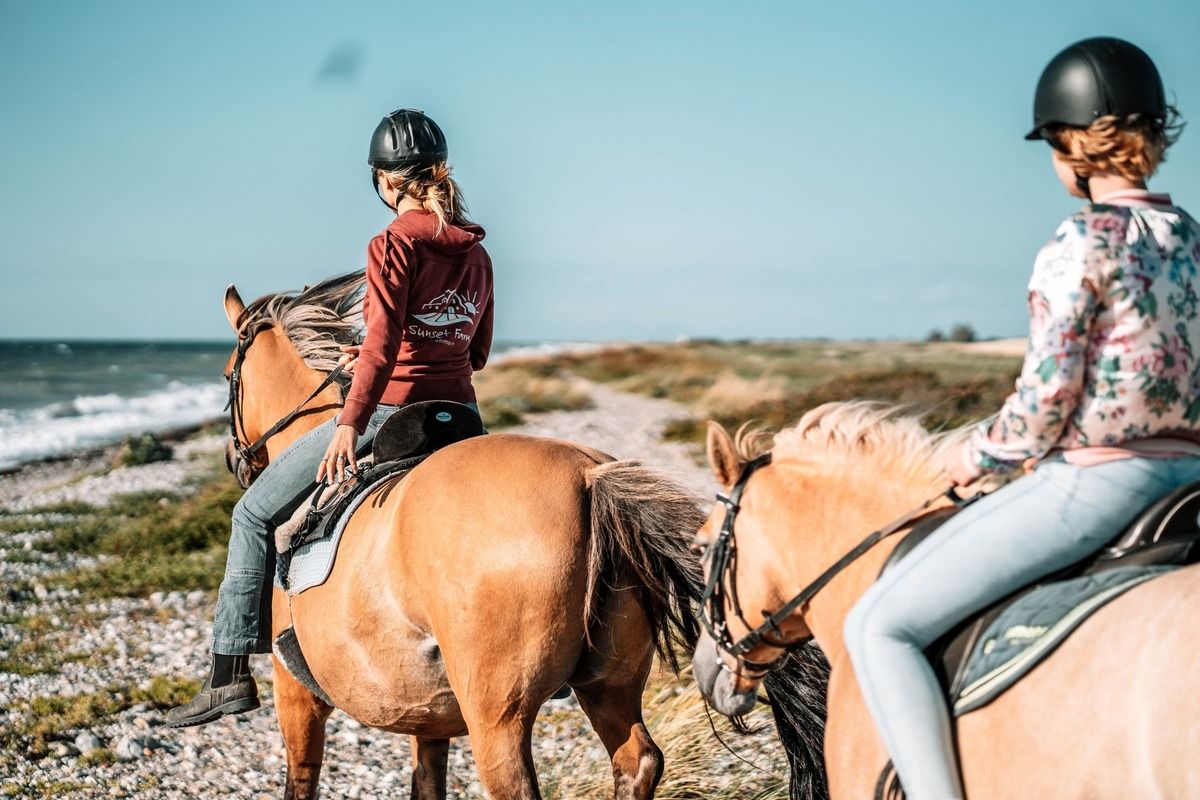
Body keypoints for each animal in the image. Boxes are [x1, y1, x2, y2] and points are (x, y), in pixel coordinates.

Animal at [218, 272, 700, 796]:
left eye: (226, 377)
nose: (235, 461)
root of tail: (588, 476)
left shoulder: (296, 694)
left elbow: (301, 778)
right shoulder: (428, 716)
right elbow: (427, 782)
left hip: (497, 718)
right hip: (610, 685)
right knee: (638, 760)